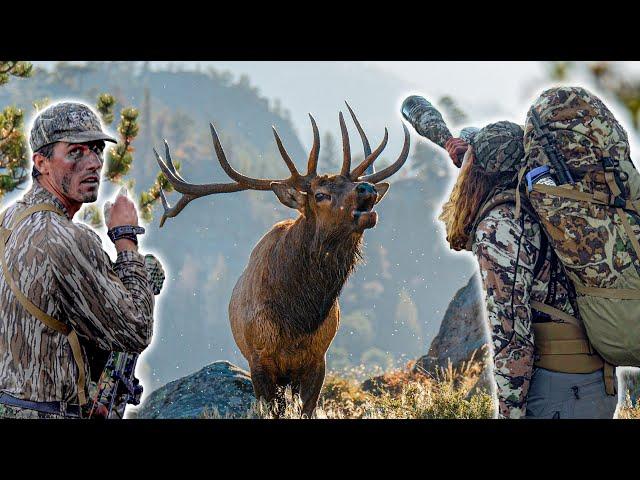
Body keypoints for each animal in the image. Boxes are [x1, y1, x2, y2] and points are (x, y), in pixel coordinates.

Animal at [152, 104, 408, 416]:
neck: (297, 319)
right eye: (320, 194)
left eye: (357, 186)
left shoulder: (317, 359)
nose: (367, 190)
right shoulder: (259, 359)